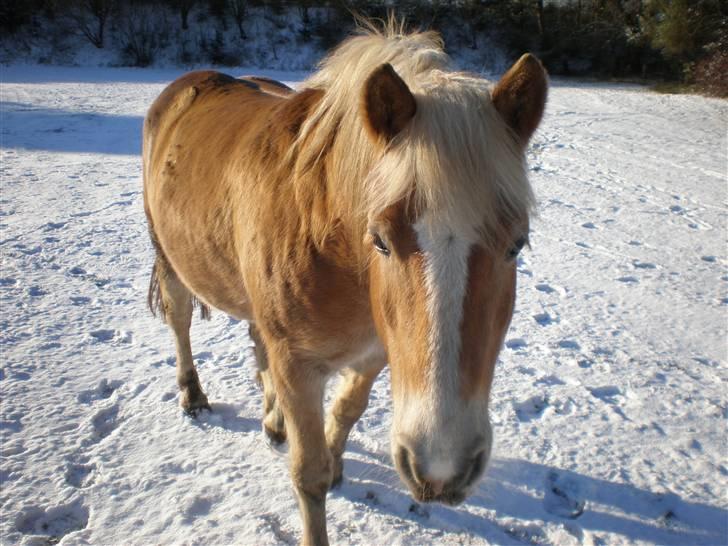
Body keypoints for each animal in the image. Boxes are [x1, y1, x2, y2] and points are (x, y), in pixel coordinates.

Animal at [144, 21, 544, 544]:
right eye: (380, 241)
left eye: (517, 244)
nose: (442, 466)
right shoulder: (297, 366)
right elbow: (307, 475)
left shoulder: (375, 351)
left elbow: (348, 409)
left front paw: (334, 461)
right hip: (168, 258)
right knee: (180, 320)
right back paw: (193, 396)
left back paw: (273, 418)